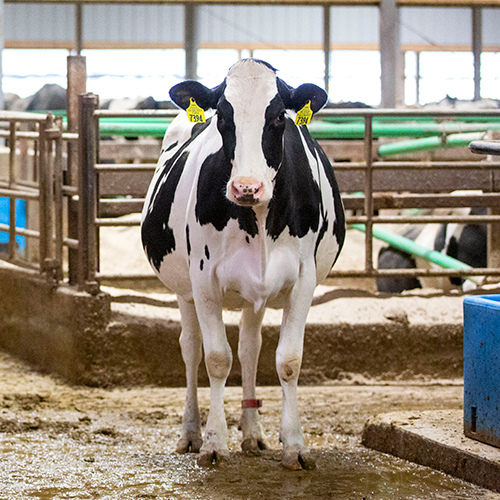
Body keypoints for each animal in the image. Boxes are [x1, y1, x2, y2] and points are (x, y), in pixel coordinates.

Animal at [140, 60, 344, 470]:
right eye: (223, 116)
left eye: (279, 117)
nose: (247, 187)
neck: (259, 218)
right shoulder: (203, 281)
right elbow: (217, 358)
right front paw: (215, 443)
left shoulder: (304, 281)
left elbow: (288, 360)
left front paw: (295, 445)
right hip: (184, 290)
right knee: (191, 349)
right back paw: (191, 433)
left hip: (255, 296)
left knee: (251, 347)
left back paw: (252, 433)